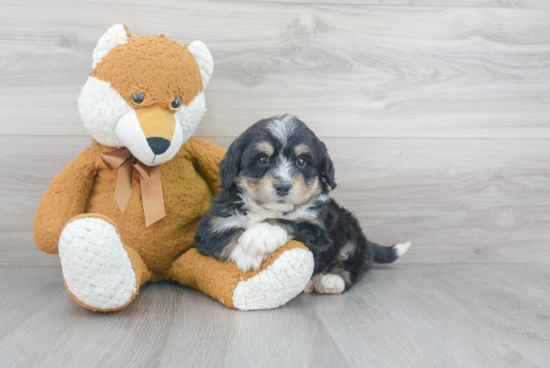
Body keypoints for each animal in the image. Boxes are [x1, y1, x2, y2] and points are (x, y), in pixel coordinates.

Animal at [196, 115, 412, 294]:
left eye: (301, 161)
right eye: (262, 159)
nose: (283, 187)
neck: (267, 208)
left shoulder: (317, 232)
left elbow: (286, 222)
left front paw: (259, 236)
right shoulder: (212, 224)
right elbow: (225, 235)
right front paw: (247, 255)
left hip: (350, 230)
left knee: (353, 263)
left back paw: (331, 280)